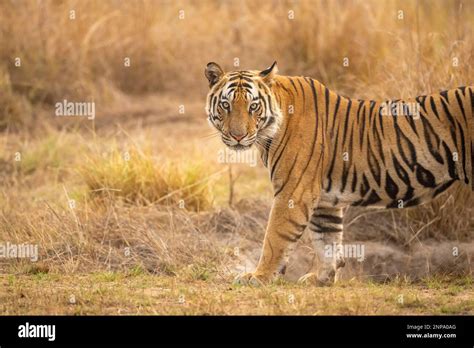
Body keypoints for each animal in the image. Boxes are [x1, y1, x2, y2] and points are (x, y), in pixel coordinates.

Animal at [205, 61, 474, 286]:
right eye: (226, 105)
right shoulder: (325, 199)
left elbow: (275, 237)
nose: (238, 136)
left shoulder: (294, 192)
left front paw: (258, 276)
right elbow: (327, 240)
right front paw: (322, 278)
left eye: (253, 106)